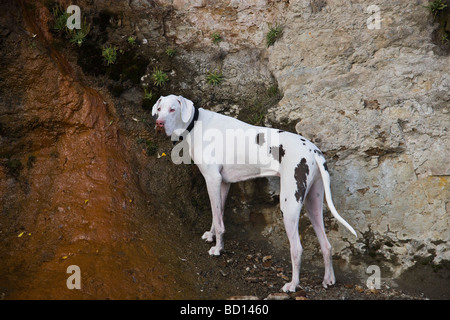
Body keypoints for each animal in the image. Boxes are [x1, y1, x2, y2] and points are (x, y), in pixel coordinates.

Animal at [153, 94, 356, 292]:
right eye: (159, 109)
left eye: (173, 109)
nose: (159, 123)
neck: (197, 124)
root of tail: (314, 151)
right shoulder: (223, 183)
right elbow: (217, 215)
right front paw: (211, 236)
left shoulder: (212, 179)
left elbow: (219, 221)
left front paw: (218, 249)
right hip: (313, 203)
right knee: (326, 244)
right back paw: (328, 279)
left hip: (289, 206)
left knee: (297, 249)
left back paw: (293, 285)